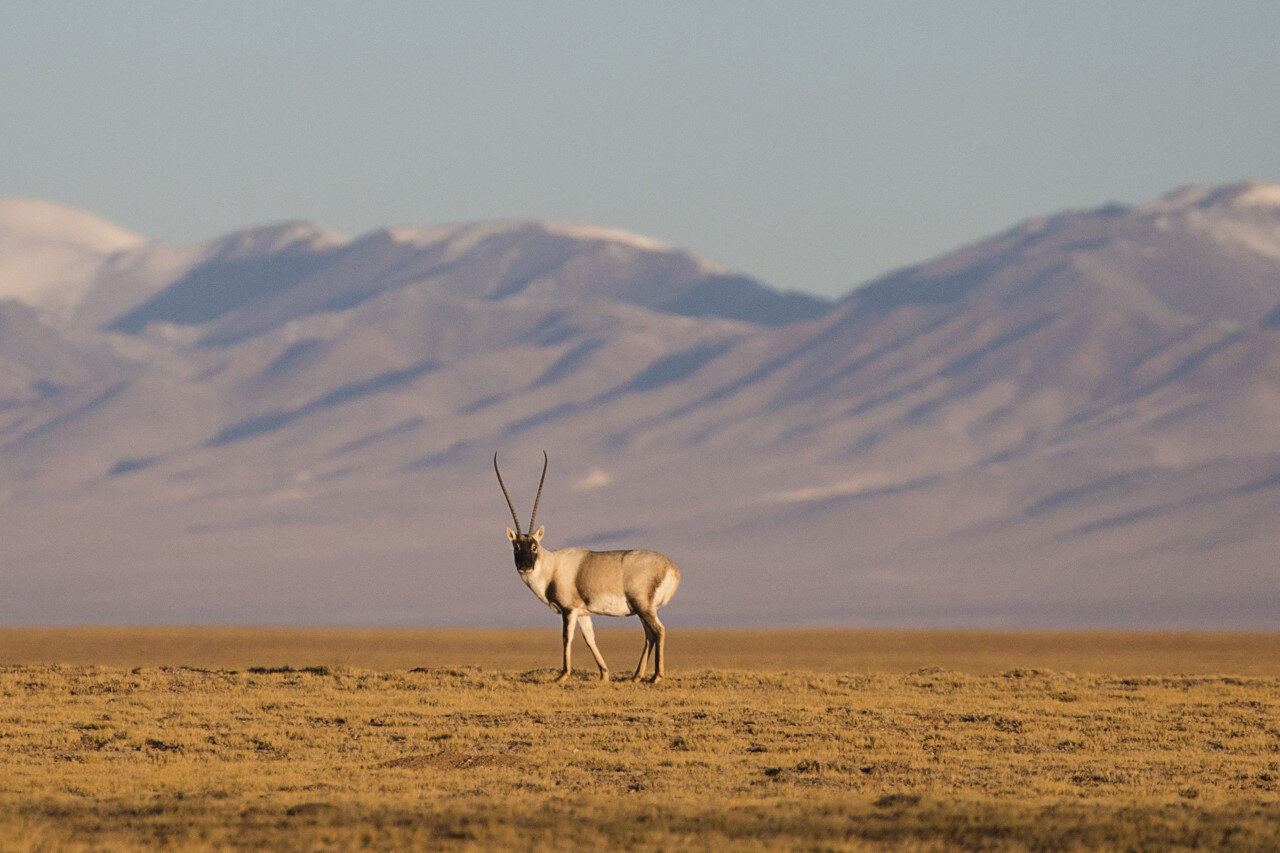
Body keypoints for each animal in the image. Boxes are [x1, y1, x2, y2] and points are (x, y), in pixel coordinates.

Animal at [494, 448, 686, 681]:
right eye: (516, 547)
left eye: (533, 546)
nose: (525, 566)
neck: (552, 566)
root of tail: (672, 569)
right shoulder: (584, 613)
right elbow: (589, 638)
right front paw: (604, 674)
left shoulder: (569, 610)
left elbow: (567, 638)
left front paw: (563, 675)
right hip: (642, 610)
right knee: (649, 634)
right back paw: (636, 676)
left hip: (643, 606)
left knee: (658, 631)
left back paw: (656, 677)